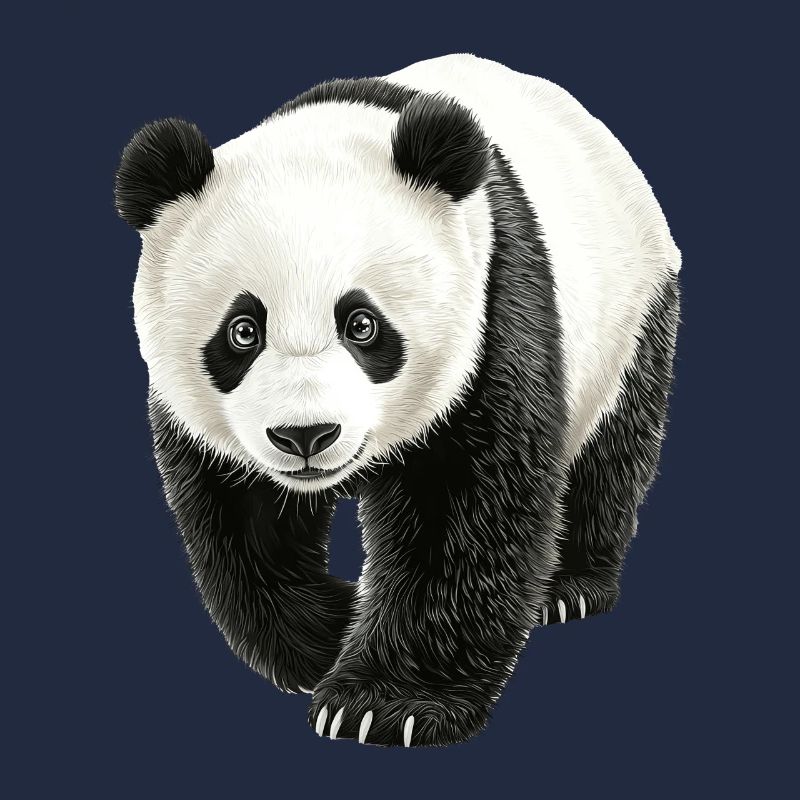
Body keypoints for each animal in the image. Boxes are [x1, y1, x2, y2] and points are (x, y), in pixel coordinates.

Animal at [116, 54, 680, 747]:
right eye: (242, 331)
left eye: (362, 324)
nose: (305, 436)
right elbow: (239, 522)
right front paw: (327, 635)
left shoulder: (492, 311)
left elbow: (462, 512)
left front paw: (384, 705)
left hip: (629, 314)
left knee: (611, 448)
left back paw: (568, 586)